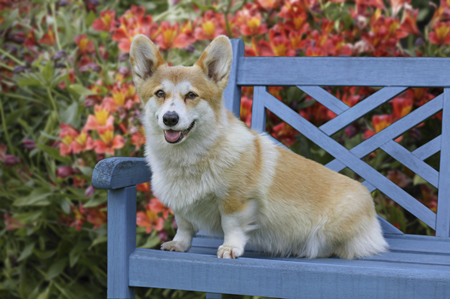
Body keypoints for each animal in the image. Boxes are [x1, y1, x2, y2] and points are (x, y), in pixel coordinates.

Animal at [128, 35, 388, 260]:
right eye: (160, 93)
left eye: (191, 95)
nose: (170, 119)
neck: (190, 156)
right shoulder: (180, 204)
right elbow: (184, 225)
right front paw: (179, 244)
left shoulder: (235, 200)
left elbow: (231, 225)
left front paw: (230, 248)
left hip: (327, 232)